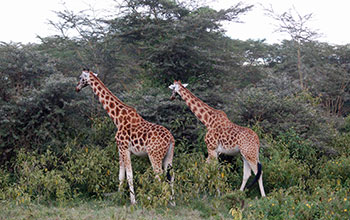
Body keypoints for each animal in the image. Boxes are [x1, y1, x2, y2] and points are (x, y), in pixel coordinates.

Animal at [76, 69, 175, 205]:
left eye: (81, 77)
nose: (77, 88)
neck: (117, 118)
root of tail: (170, 139)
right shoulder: (120, 149)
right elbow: (121, 175)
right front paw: (118, 197)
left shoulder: (124, 148)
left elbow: (129, 175)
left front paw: (133, 201)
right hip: (169, 155)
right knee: (170, 176)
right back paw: (172, 202)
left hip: (154, 154)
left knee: (159, 175)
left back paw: (160, 201)